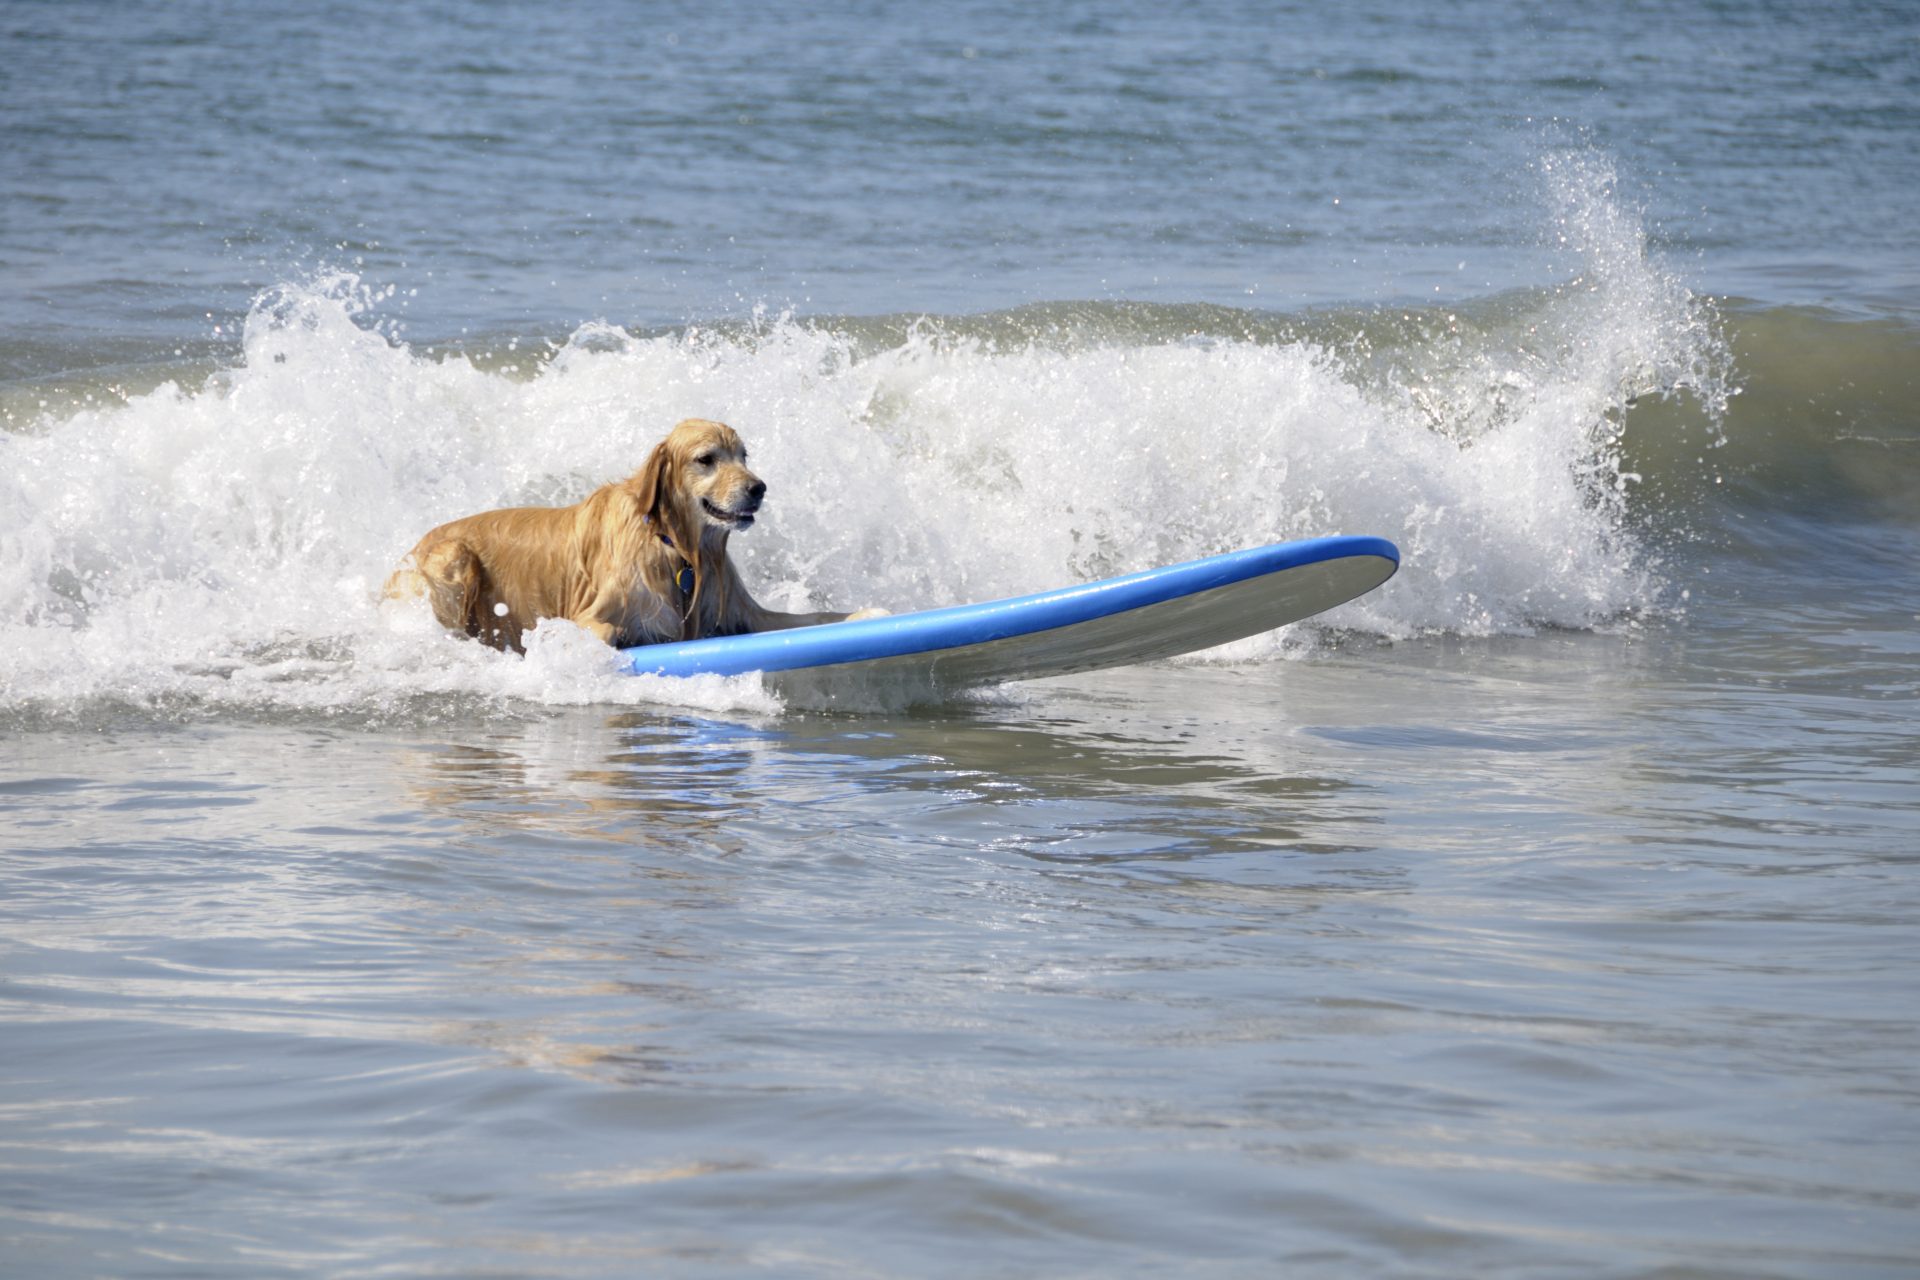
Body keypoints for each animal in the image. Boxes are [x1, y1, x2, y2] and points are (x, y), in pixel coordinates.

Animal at [385, 420, 879, 656]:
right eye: (707, 459)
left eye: (743, 455)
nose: (758, 488)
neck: (677, 549)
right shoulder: (592, 616)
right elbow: (600, 634)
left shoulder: (745, 616)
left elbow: (817, 617)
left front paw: (867, 612)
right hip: (452, 557)